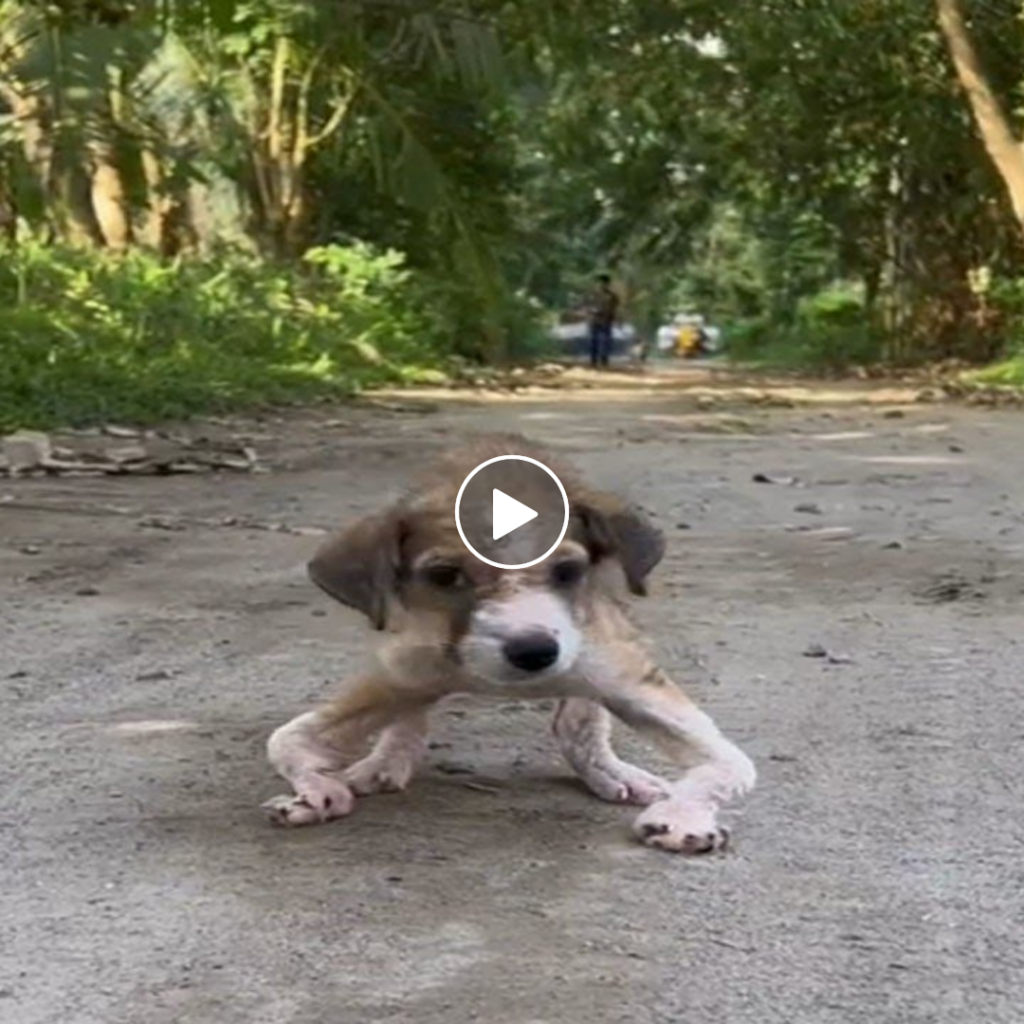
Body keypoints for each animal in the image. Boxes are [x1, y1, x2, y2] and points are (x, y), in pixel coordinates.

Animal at [264, 436, 753, 851]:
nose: (534, 652)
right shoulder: (402, 671)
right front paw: (314, 793)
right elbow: (286, 740)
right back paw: (388, 758)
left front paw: (682, 819)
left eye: (567, 571)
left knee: (579, 720)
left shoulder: (618, 672)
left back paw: (608, 769)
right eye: (445, 575)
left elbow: (731, 765)